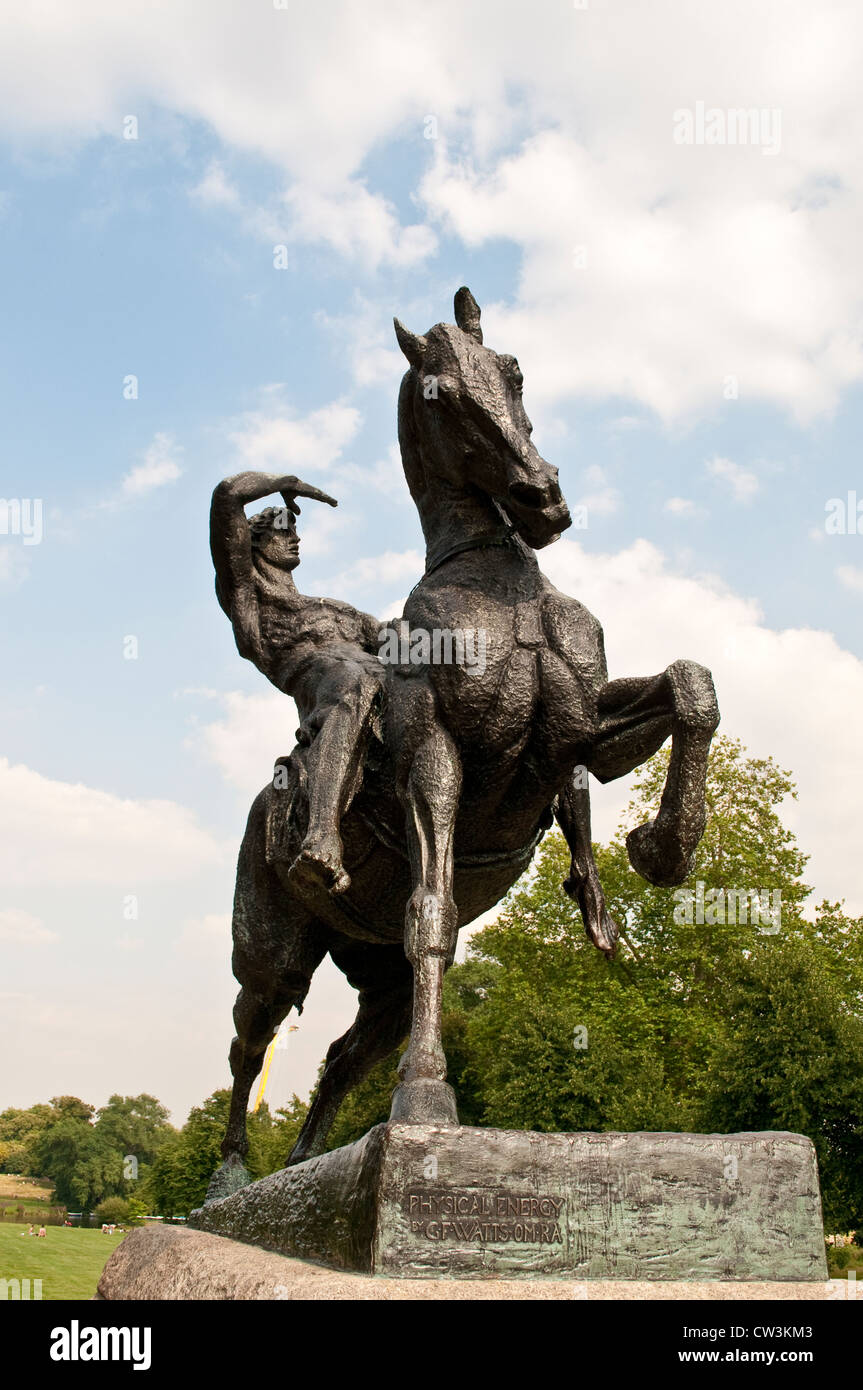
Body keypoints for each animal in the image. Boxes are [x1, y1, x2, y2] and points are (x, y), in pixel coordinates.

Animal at [209, 284, 722, 1195]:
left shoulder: (584, 739)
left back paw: (303, 1163)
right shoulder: (434, 758)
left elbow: (690, 687)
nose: (540, 497)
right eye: (439, 393)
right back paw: (232, 1175)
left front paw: (663, 846)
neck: (502, 585)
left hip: (373, 974)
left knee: (341, 1055)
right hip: (272, 953)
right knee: (248, 1042)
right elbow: (434, 915)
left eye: (512, 369)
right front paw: (424, 1095)